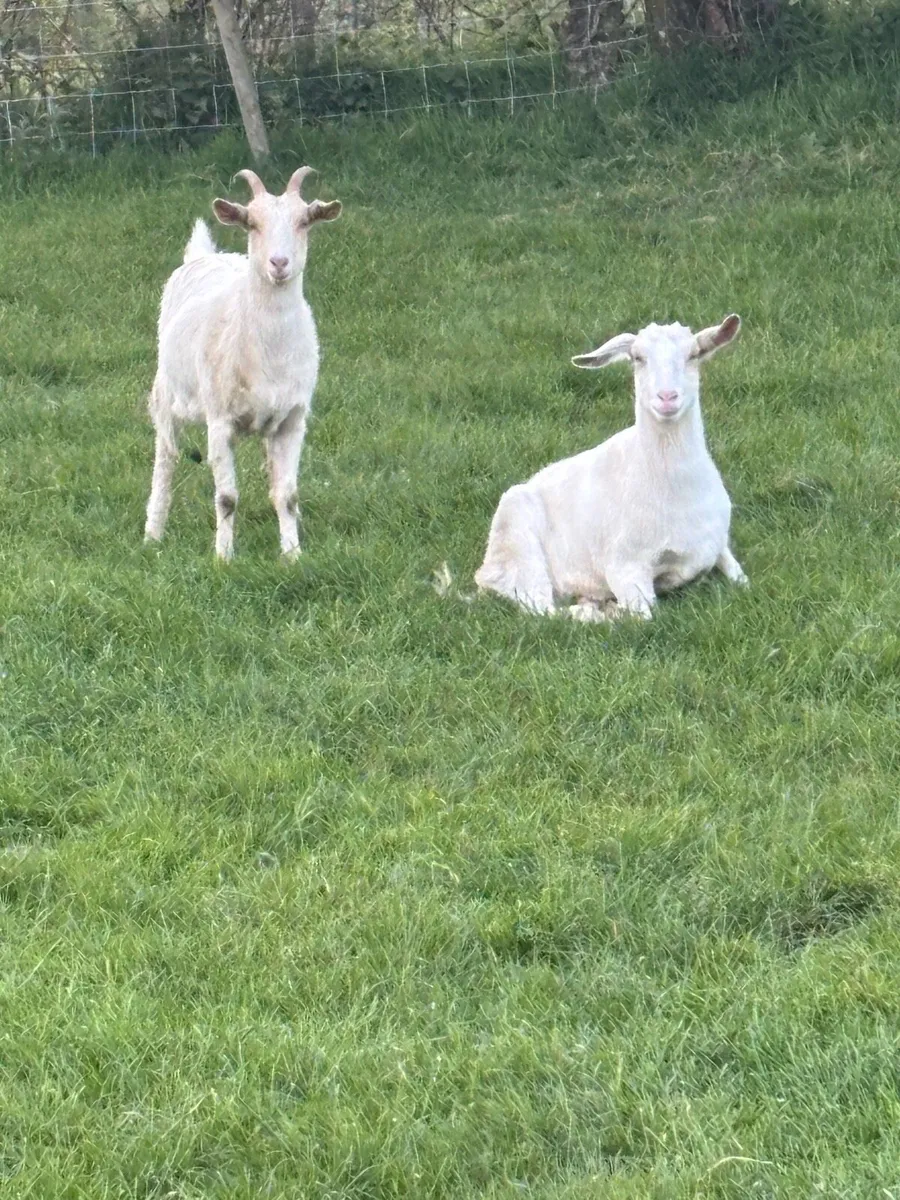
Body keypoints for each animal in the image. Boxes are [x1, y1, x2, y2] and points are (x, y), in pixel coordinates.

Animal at [144, 167, 342, 560]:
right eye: (252, 223)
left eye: (304, 221)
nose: (278, 263)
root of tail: (204, 255)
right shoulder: (220, 420)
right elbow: (226, 498)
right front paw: (223, 557)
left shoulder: (292, 419)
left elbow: (287, 495)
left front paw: (292, 555)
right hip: (166, 393)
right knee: (166, 458)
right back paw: (152, 534)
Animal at [474, 315, 748, 620]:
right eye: (637, 357)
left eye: (694, 354)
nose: (667, 397)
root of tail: (484, 574)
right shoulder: (624, 564)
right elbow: (643, 616)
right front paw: (611, 610)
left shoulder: (719, 545)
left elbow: (742, 582)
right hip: (518, 543)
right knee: (541, 607)